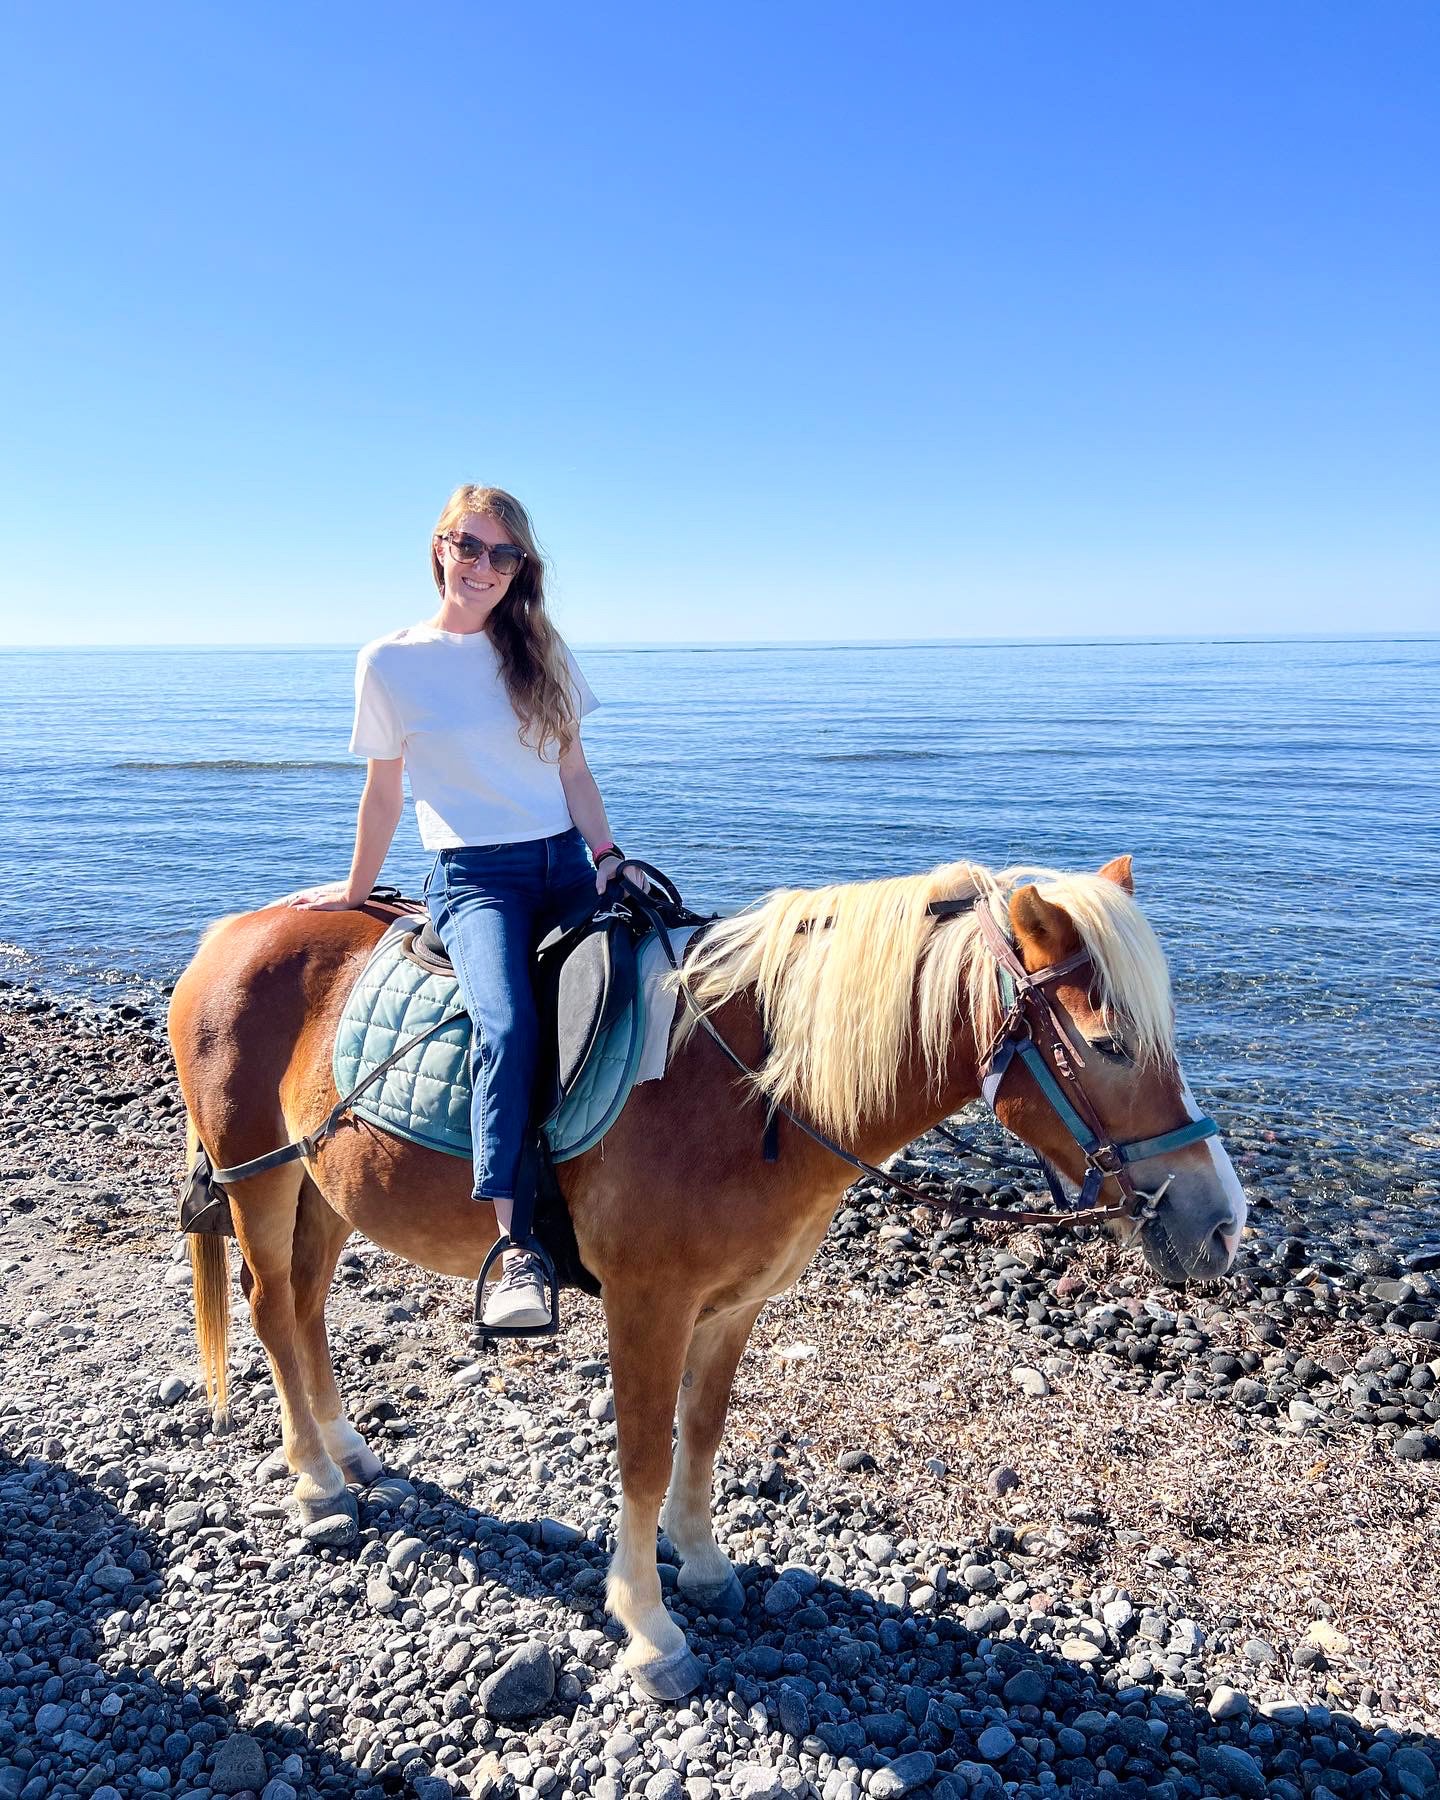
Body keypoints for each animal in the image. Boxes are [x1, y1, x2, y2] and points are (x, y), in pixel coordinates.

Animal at [169, 856, 1245, 1699]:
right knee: (271, 1310)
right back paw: (314, 1482)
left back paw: (347, 1450)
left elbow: (704, 1429)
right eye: (1108, 1044)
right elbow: (645, 1454)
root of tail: (233, 934)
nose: (1222, 1225)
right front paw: (648, 1626)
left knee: (308, 1308)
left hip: (324, 1189)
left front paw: (703, 1561)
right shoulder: (648, 1304)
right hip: (259, 1176)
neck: (751, 1088)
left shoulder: (733, 1307)